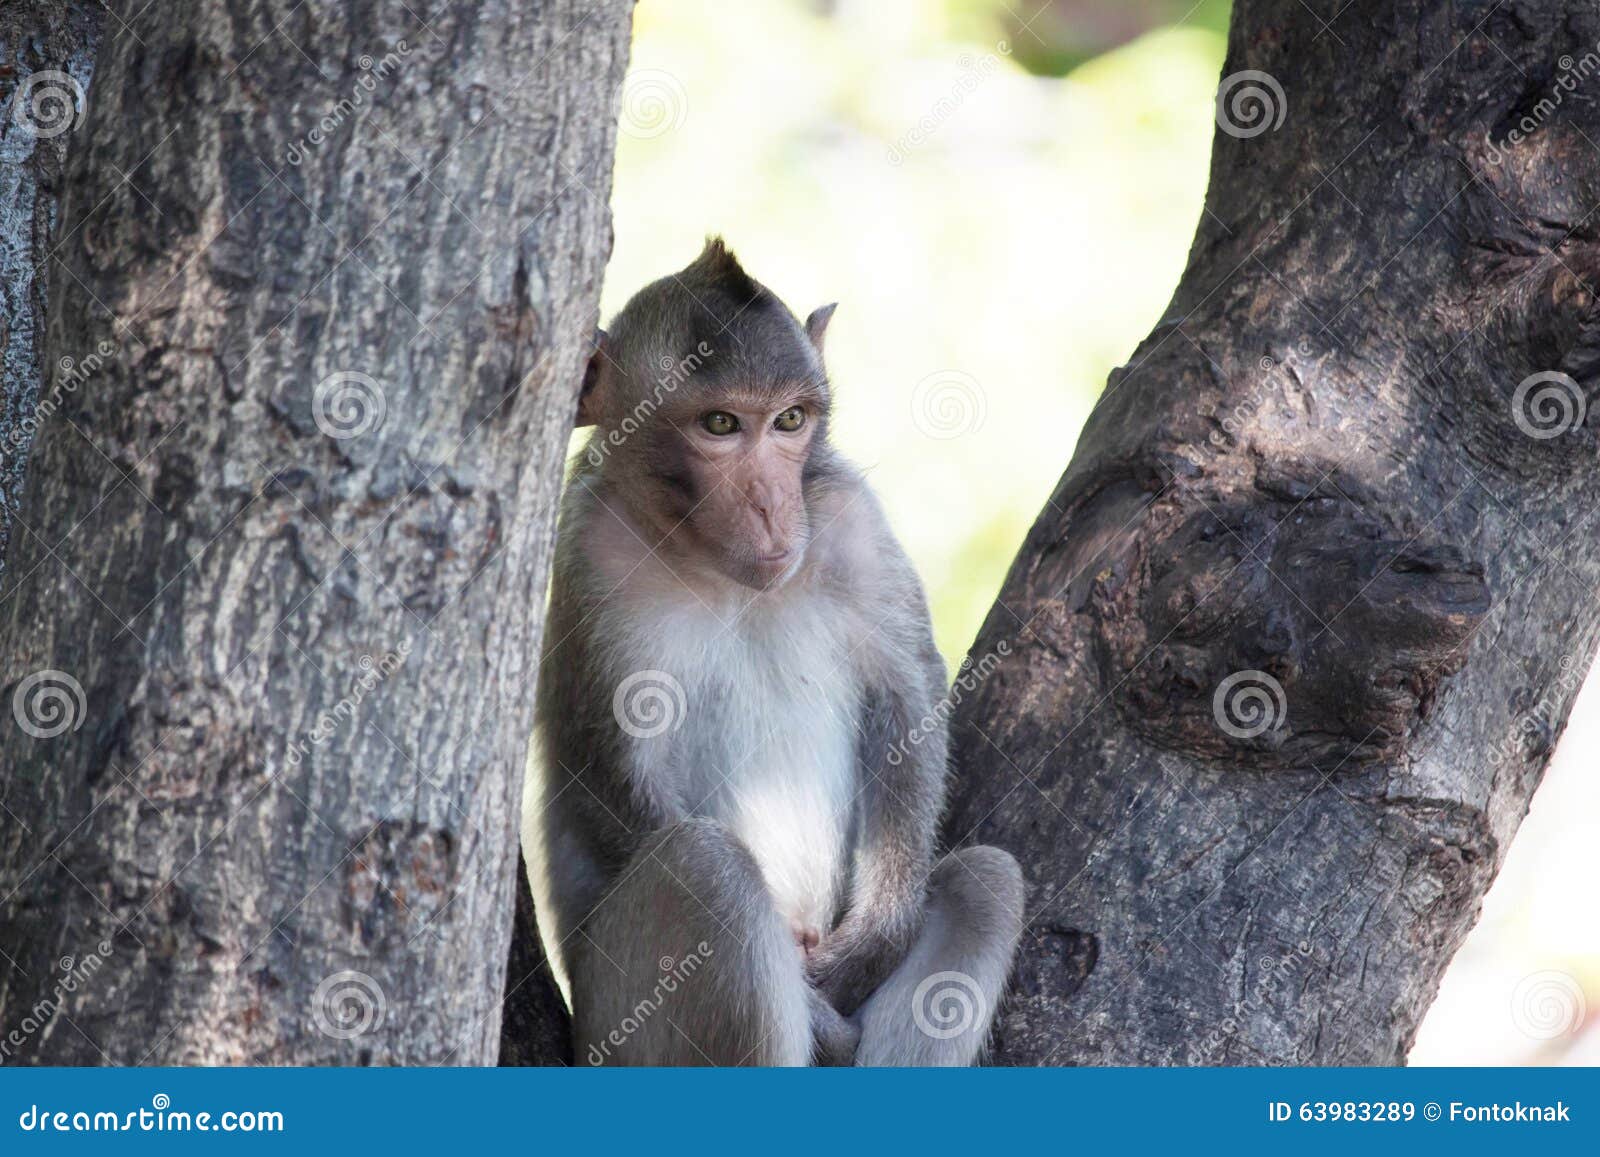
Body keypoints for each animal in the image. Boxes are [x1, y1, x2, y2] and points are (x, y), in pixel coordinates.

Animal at [524, 236, 1024, 1068]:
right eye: (721, 424)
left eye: (791, 420)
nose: (771, 506)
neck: (712, 567)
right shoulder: (588, 558)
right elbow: (610, 773)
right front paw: (814, 1010)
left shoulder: (852, 518)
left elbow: (906, 703)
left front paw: (876, 935)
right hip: (613, 1026)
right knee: (710, 869)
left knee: (986, 880)